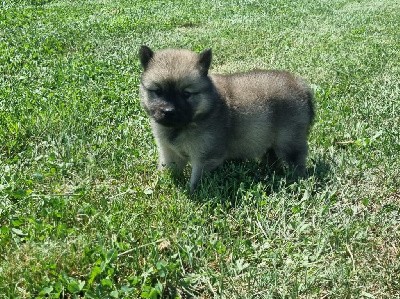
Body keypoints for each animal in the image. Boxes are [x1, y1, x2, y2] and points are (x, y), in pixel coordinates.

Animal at [139, 46, 314, 192]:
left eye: (186, 94)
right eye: (158, 91)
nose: (168, 111)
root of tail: (301, 86)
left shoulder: (205, 158)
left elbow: (197, 179)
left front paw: (193, 192)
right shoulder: (169, 153)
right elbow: (168, 170)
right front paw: (164, 184)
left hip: (288, 142)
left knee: (296, 160)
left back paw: (296, 178)